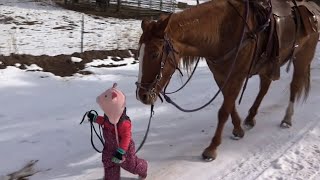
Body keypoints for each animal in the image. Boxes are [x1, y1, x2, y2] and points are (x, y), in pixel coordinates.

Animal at [134, 0, 318, 161]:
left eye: (154, 54)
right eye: (139, 52)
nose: (142, 96)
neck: (222, 31)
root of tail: (314, 9)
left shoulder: (237, 76)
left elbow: (223, 111)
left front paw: (212, 148)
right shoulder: (221, 76)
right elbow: (230, 105)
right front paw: (238, 130)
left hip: (303, 56)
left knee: (294, 86)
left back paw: (287, 119)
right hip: (268, 65)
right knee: (264, 88)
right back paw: (251, 117)